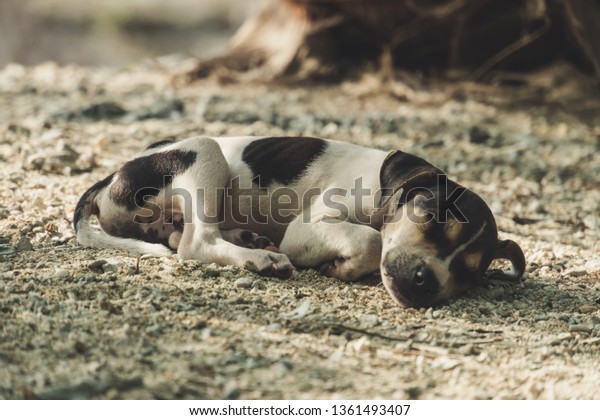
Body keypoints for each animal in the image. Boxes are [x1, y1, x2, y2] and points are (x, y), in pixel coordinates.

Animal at [74, 136, 524, 306]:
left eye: (467, 273)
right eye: (429, 219)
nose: (425, 281)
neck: (382, 193)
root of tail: (112, 177)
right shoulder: (306, 228)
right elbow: (371, 240)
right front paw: (340, 265)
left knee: (178, 236)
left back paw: (249, 239)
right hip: (205, 151)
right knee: (194, 242)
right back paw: (260, 259)